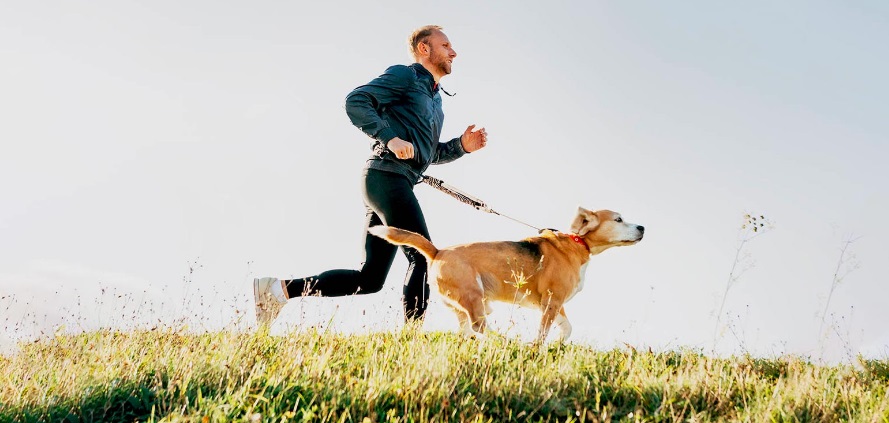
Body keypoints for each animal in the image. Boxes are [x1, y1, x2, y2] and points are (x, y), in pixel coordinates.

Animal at [368, 207, 644, 342]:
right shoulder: (551, 301)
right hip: (474, 296)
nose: (642, 227)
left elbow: (567, 328)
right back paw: (501, 341)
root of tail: (437, 252)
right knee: (479, 326)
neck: (578, 242)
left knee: (467, 329)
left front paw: (558, 344)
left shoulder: (555, 304)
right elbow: (543, 332)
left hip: (465, 304)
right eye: (618, 219)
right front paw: (539, 348)